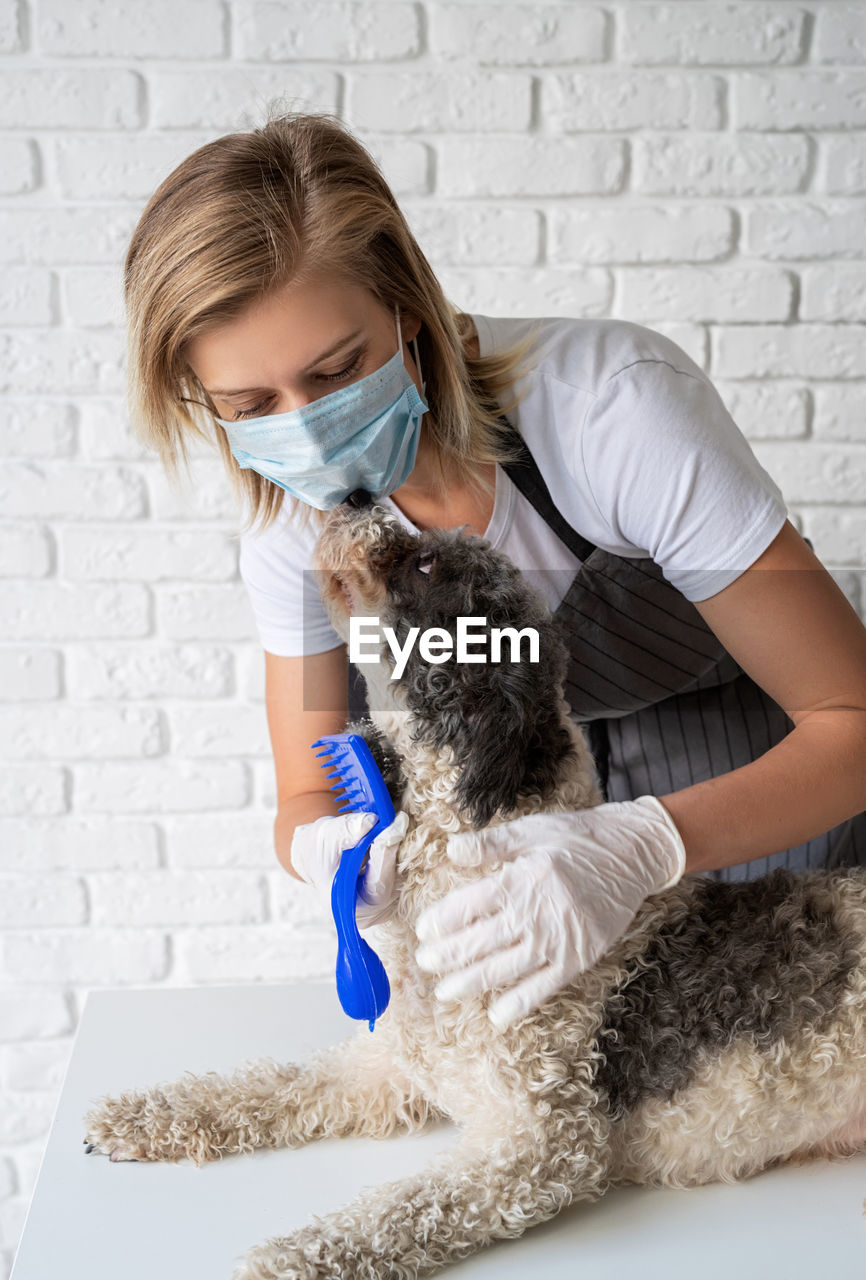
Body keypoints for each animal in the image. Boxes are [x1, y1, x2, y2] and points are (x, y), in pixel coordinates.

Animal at [84, 499, 864, 1280]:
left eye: (428, 566)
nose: (356, 497)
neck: (465, 870)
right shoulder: (388, 1069)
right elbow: (272, 1085)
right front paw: (142, 1117)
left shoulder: (540, 1145)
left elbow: (396, 1214)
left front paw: (289, 1258)